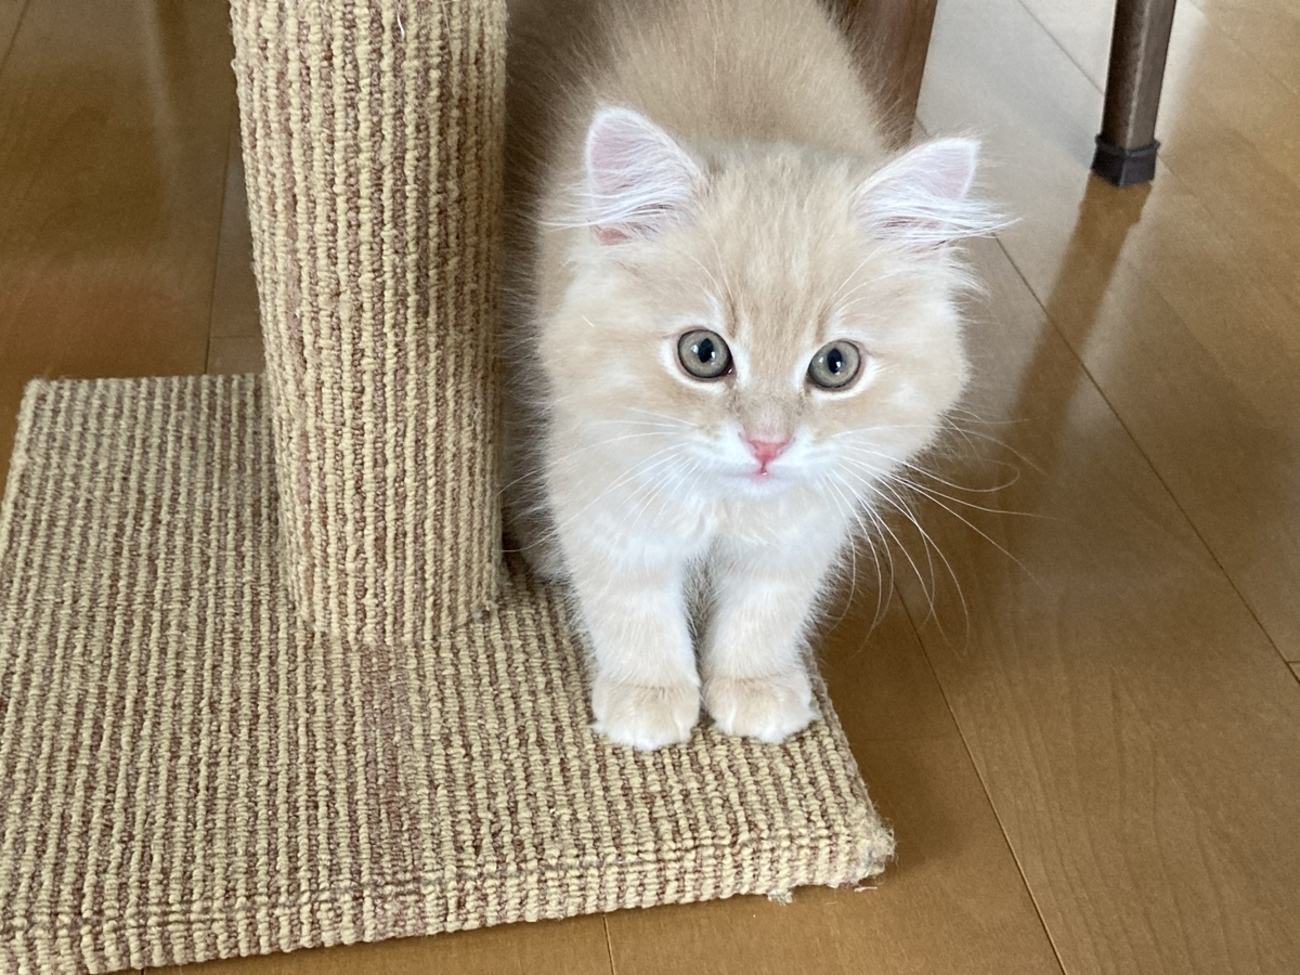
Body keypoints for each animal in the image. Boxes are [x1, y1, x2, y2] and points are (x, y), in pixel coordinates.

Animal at [500, 0, 1002, 750]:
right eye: (703, 354)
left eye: (835, 365)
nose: (768, 444)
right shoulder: (603, 465)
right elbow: (631, 600)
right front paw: (651, 697)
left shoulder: (810, 518)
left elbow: (768, 605)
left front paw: (751, 685)